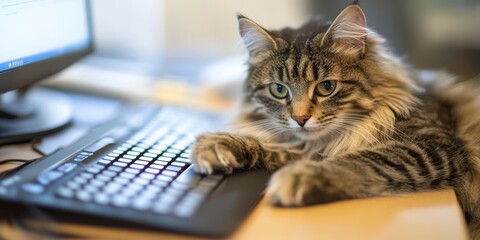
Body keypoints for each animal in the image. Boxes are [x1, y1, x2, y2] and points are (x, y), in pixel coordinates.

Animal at [189, 1, 480, 238]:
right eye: (279, 90)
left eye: (326, 87)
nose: (300, 119)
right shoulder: (305, 145)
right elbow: (268, 145)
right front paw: (217, 145)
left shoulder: (434, 146)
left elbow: (366, 158)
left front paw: (300, 177)